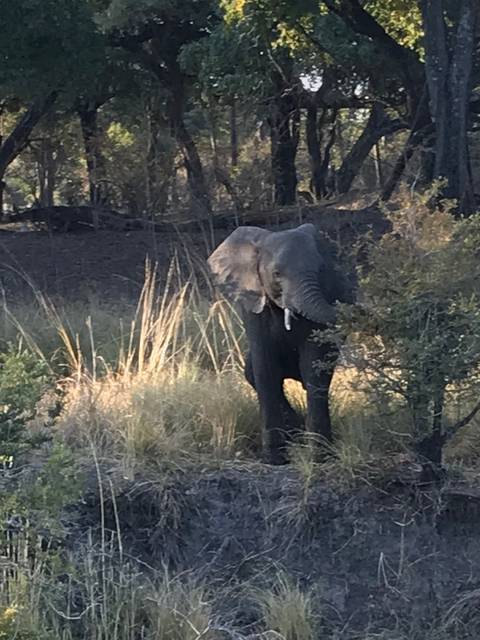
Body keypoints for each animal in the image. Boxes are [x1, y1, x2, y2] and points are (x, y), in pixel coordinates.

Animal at [208, 222, 354, 464]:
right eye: (276, 274)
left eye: (320, 270)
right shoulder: (253, 305)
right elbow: (265, 369)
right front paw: (274, 458)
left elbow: (313, 368)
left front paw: (320, 457)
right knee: (252, 372)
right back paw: (295, 429)